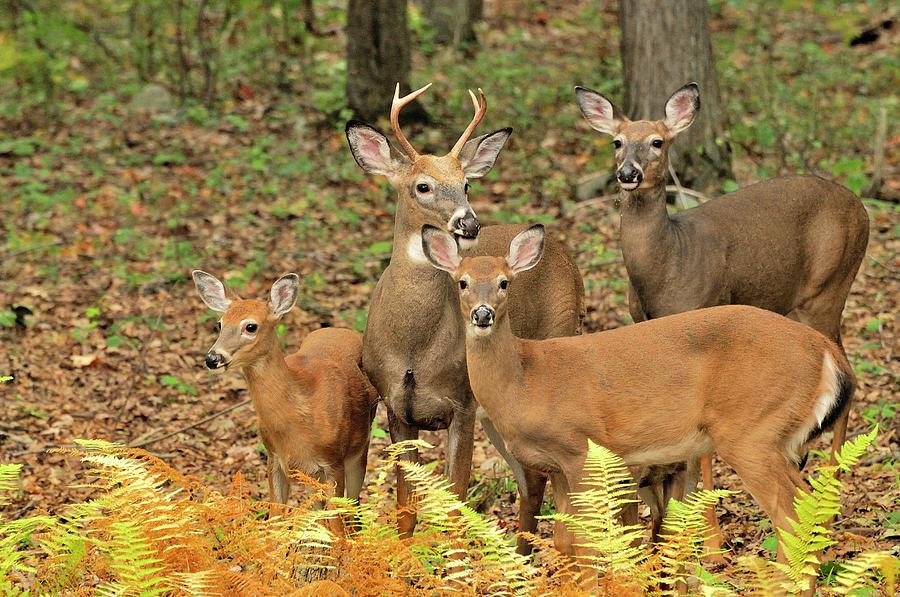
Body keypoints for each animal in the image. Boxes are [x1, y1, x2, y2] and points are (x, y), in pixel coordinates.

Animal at [193, 270, 376, 502]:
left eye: (250, 326)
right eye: (219, 324)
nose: (212, 358)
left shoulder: (334, 461)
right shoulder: (274, 457)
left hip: (359, 450)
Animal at [344, 84, 584, 548]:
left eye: (467, 184)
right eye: (423, 186)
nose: (468, 223)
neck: (414, 346)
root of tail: (565, 255)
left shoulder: (463, 403)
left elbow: (456, 505)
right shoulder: (395, 406)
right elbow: (406, 507)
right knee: (532, 480)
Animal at [422, 224, 856, 576]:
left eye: (504, 282)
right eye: (462, 282)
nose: (482, 315)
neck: (527, 382)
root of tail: (826, 352)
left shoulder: (581, 449)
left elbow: (587, 542)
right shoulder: (557, 467)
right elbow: (565, 541)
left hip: (753, 430)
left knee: (789, 515)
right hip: (777, 438)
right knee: (810, 505)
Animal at [572, 80, 868, 544]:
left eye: (657, 142)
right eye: (617, 142)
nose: (628, 173)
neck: (668, 265)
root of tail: (862, 206)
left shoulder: (704, 312)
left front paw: (707, 535)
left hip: (827, 288)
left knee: (850, 372)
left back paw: (830, 496)